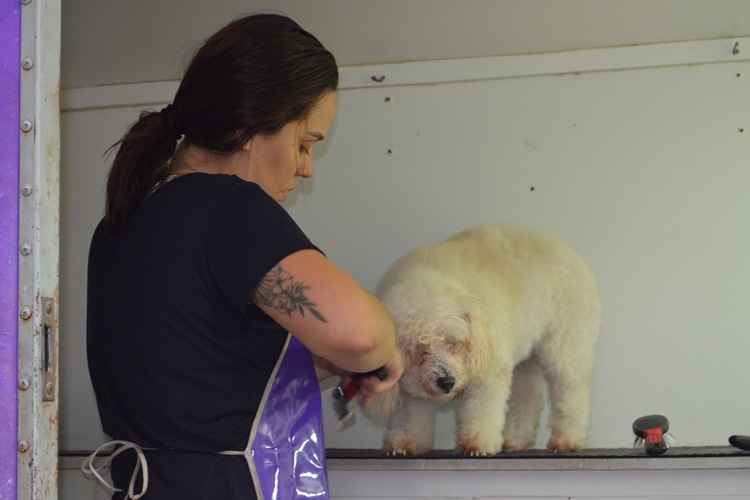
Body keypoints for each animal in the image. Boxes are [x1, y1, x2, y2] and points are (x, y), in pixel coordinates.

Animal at [362, 225, 604, 456]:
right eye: (420, 351)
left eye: (454, 343)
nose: (447, 382)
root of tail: (571, 254)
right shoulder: (408, 389)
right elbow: (410, 416)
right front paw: (404, 444)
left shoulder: (488, 371)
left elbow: (481, 411)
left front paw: (477, 445)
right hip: (526, 358)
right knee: (528, 397)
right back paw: (517, 441)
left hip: (566, 348)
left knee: (571, 393)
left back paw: (567, 440)